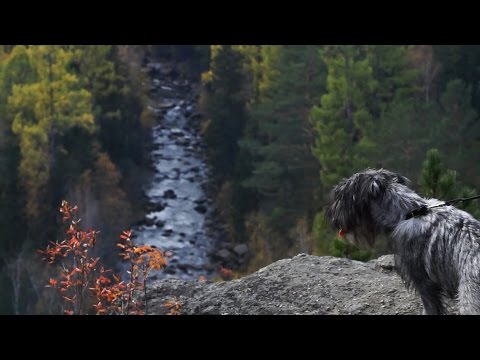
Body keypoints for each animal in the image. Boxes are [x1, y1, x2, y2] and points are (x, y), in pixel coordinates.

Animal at [326, 167, 480, 314]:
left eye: (341, 195)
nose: (332, 217)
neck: (410, 212)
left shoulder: (424, 282)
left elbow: (430, 308)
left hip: (469, 299)